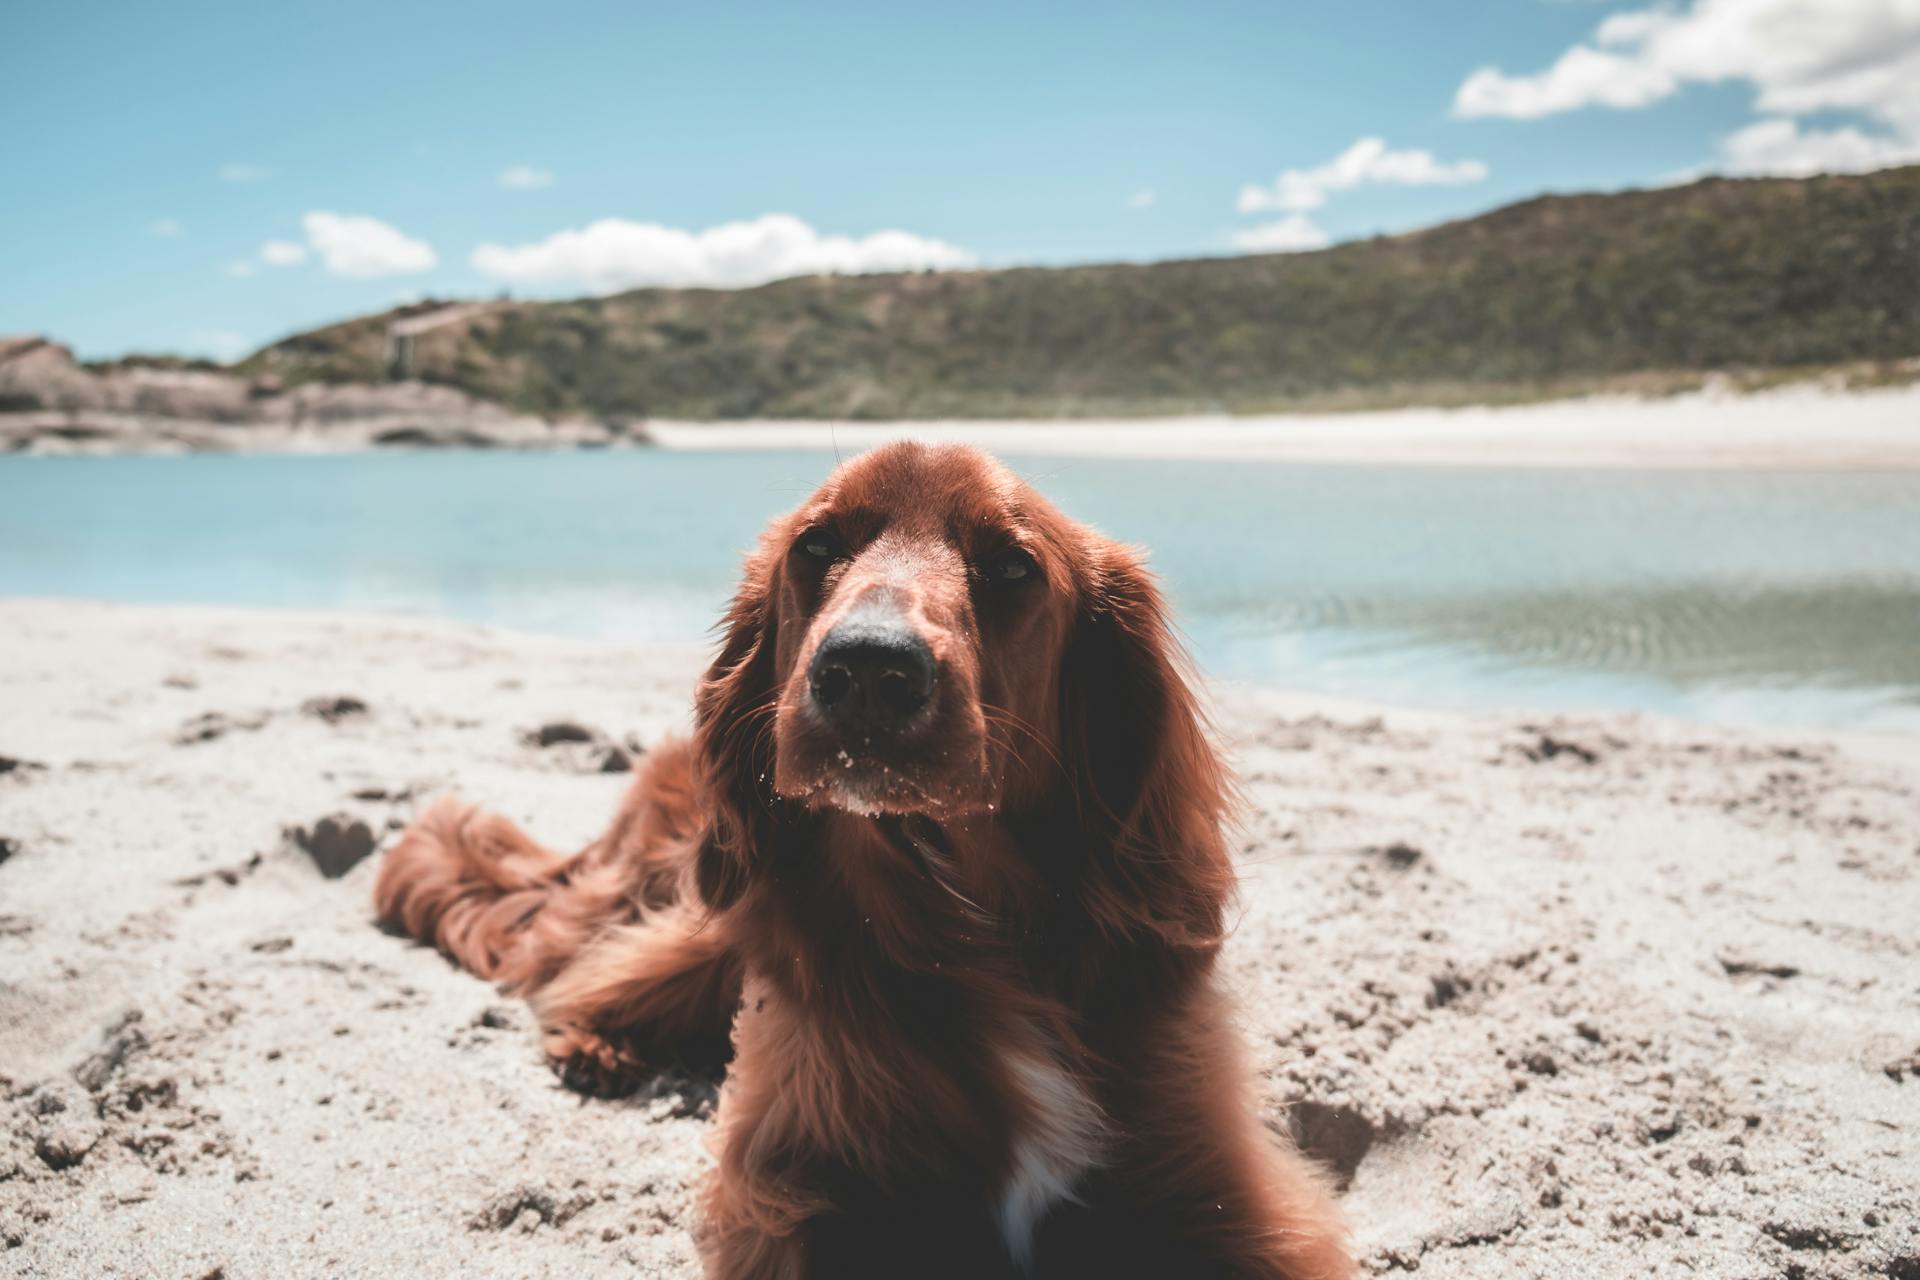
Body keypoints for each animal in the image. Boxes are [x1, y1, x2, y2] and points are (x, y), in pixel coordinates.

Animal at [366, 443, 1344, 1280]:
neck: (965, 915)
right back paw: (597, 1042)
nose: (868, 669)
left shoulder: (1229, 1200)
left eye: (1012, 566)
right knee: (572, 966)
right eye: (817, 545)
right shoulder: (790, 1191)